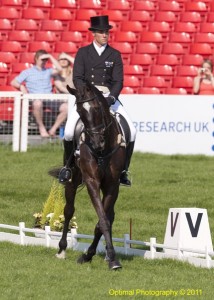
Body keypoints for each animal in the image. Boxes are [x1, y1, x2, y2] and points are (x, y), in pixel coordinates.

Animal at [52, 82, 127, 270]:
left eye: (97, 108)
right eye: (79, 111)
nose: (96, 143)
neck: (103, 150)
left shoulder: (112, 185)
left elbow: (102, 221)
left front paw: (101, 256)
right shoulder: (92, 181)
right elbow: (102, 219)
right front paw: (110, 257)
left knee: (110, 215)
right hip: (71, 180)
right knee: (68, 211)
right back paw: (61, 250)